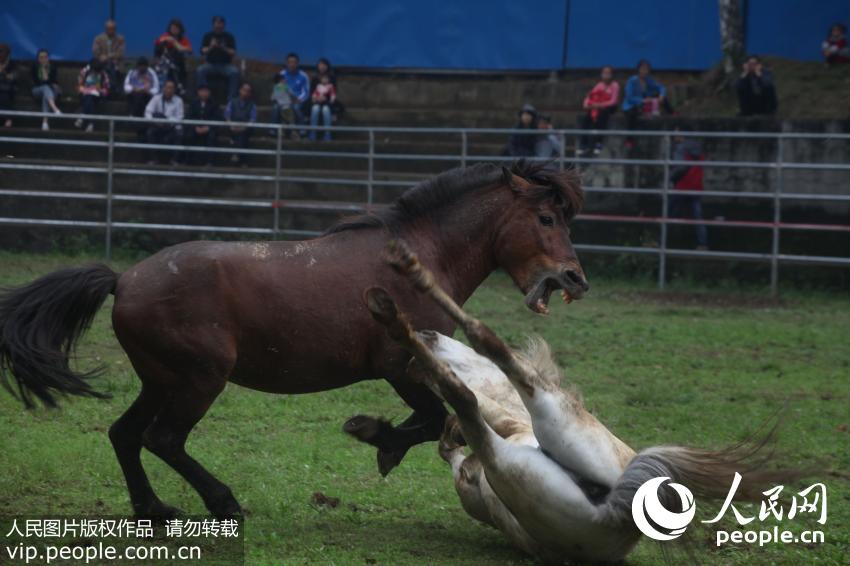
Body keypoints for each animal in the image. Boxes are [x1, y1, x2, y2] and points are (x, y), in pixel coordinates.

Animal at [0, 160, 584, 520]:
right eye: (545, 217)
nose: (575, 278)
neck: (418, 261)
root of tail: (122, 281)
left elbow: (435, 422)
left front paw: (380, 439)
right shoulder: (402, 366)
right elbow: (432, 420)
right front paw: (378, 440)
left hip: (161, 381)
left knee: (125, 434)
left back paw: (155, 509)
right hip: (197, 380)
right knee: (162, 439)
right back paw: (224, 502)